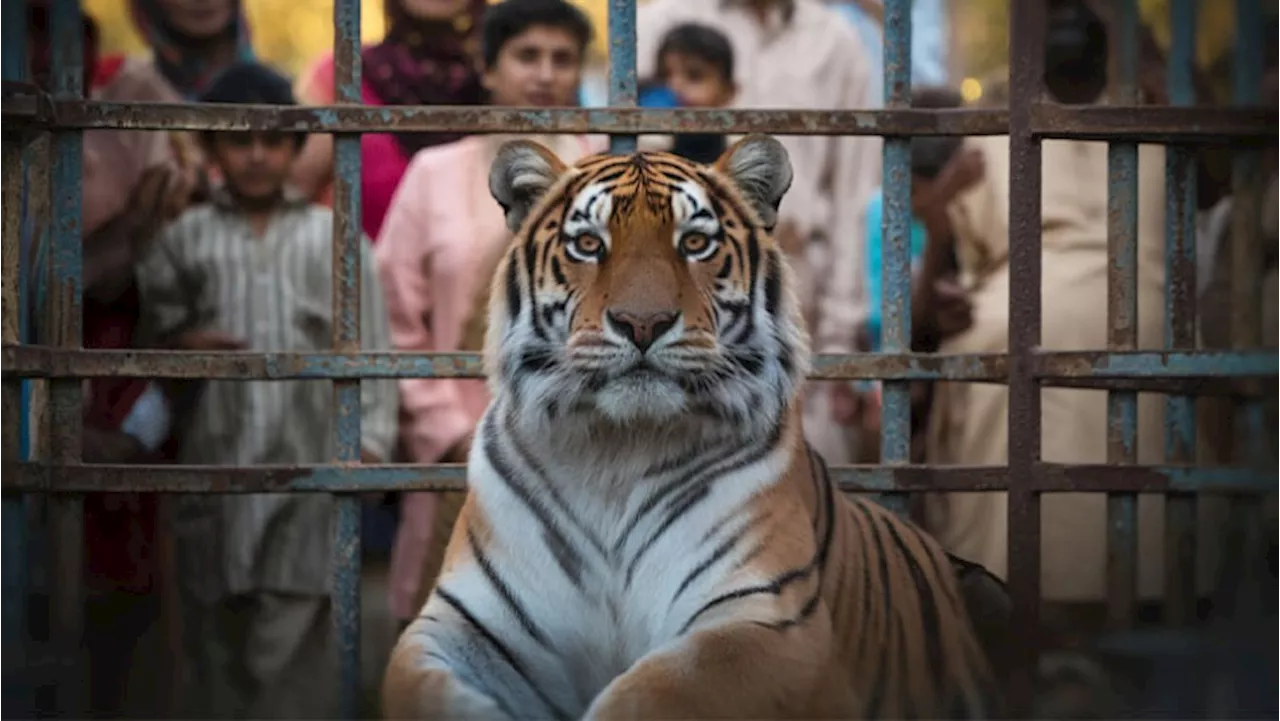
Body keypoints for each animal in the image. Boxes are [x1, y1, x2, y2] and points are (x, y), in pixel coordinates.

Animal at [378, 135, 1008, 721]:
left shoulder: (766, 621)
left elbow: (651, 693)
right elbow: (424, 690)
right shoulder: (460, 625)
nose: (643, 323)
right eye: (589, 244)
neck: (614, 452)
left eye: (695, 243)